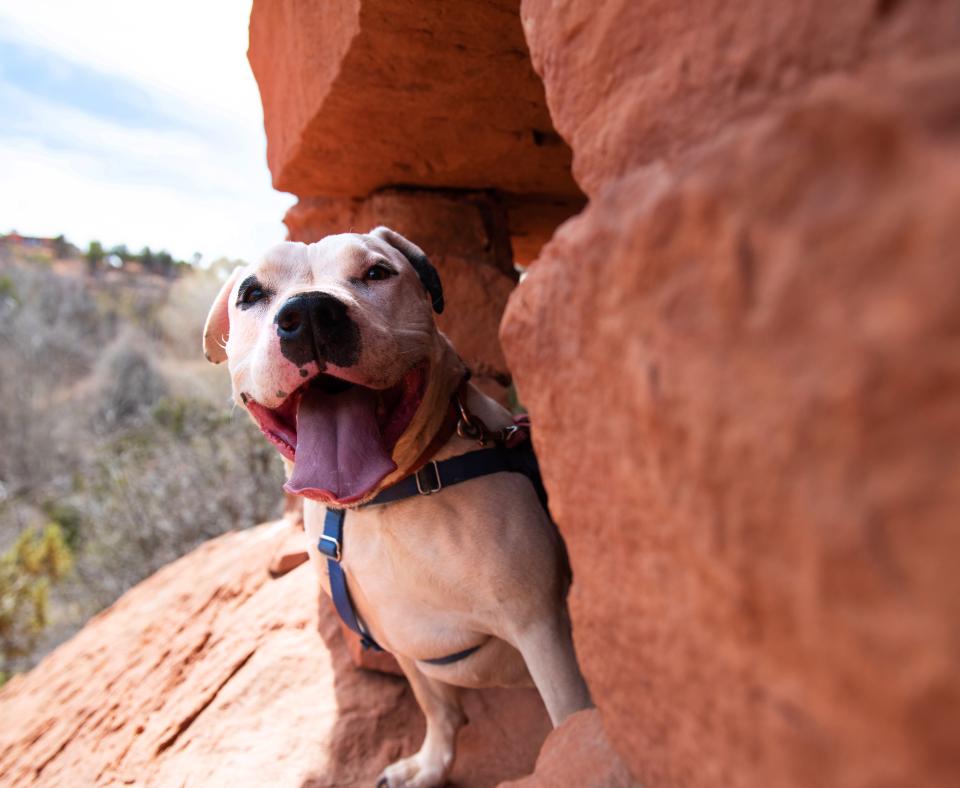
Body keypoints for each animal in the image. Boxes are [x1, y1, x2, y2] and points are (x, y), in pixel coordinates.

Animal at [203, 228, 592, 788]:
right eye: (252, 294)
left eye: (376, 273)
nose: (310, 313)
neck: (387, 499)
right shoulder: (398, 635)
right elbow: (439, 709)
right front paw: (430, 765)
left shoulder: (543, 631)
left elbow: (570, 719)